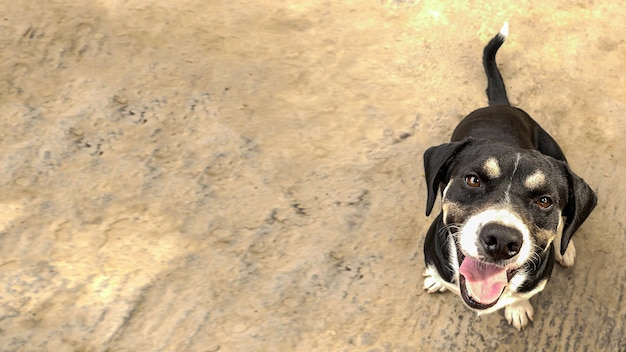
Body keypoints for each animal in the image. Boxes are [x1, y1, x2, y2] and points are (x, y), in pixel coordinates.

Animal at [420, 22, 596, 330]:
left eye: (545, 201)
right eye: (473, 180)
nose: (502, 241)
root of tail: (500, 104)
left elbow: (519, 295)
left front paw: (517, 307)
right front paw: (436, 280)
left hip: (556, 150)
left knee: (569, 222)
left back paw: (565, 249)